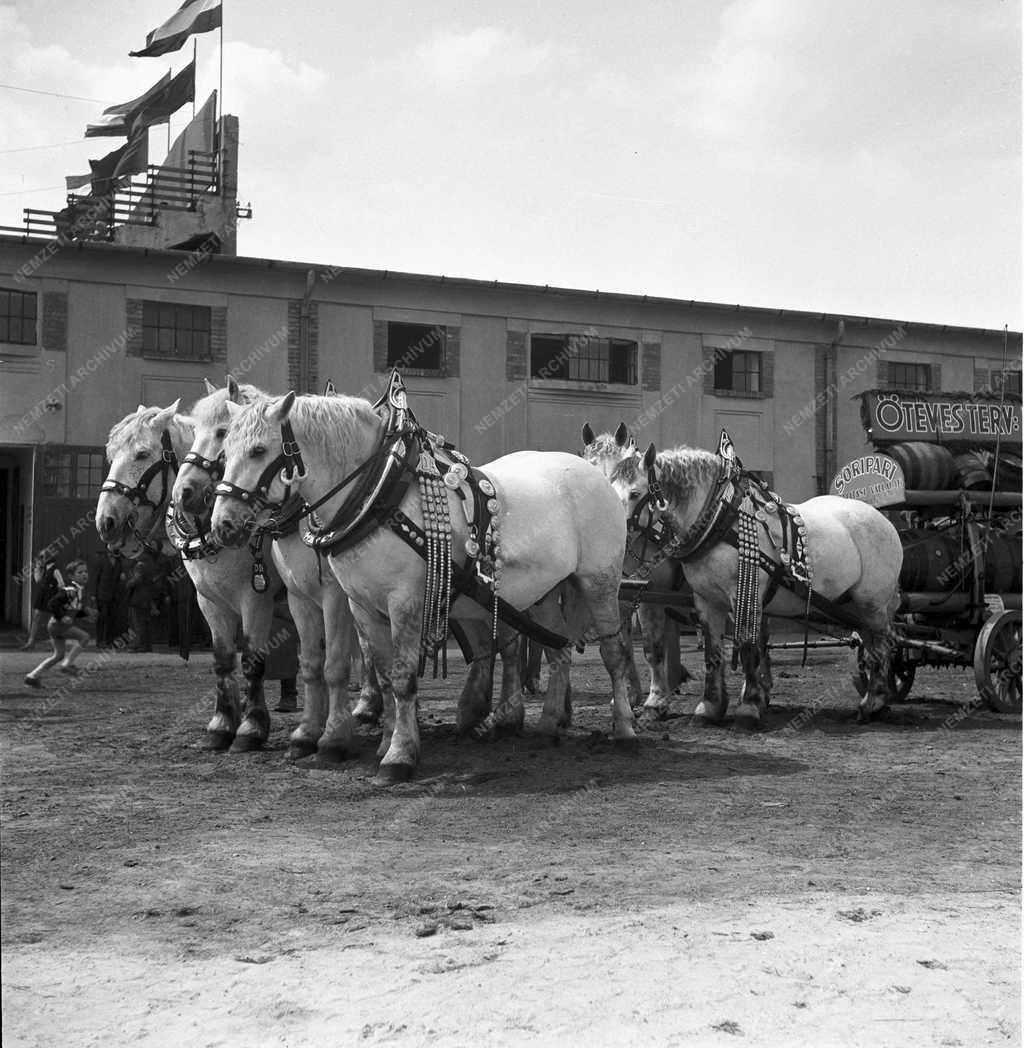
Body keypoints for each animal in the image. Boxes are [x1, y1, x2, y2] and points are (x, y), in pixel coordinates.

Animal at [96, 400, 278, 754]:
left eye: (141, 454)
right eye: (111, 455)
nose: (106, 521)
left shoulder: (257, 598)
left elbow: (252, 660)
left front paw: (252, 727)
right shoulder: (209, 600)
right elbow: (223, 659)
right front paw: (222, 724)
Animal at [209, 389, 637, 783]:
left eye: (259, 451)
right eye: (225, 450)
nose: (223, 525)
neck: (377, 493)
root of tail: (595, 475)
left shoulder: (402, 601)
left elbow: (401, 676)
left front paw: (397, 756)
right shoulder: (361, 605)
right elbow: (380, 674)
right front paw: (385, 742)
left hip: (600, 581)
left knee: (613, 652)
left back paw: (624, 729)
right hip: (544, 592)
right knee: (559, 651)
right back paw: (548, 725)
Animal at [607, 438, 901, 725]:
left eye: (635, 493)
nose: (614, 532)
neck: (721, 520)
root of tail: (883, 518)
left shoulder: (743, 597)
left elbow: (747, 648)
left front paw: (748, 706)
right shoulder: (706, 600)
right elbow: (711, 651)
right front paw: (711, 705)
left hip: (872, 603)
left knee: (882, 643)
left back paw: (874, 701)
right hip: (853, 604)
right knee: (871, 640)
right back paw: (878, 699)